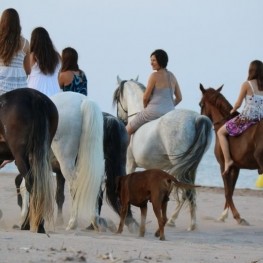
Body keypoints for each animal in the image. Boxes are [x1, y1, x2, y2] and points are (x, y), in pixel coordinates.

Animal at [200, 83, 263, 226]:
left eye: (200, 104)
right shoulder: (236, 168)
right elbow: (231, 190)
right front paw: (224, 215)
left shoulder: (224, 166)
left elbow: (227, 192)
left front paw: (236, 216)